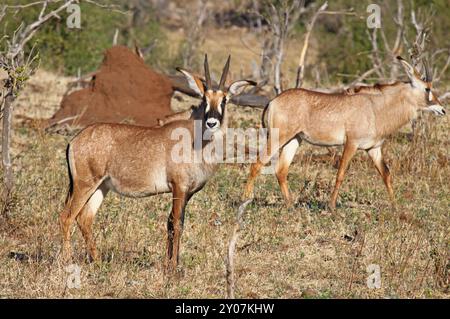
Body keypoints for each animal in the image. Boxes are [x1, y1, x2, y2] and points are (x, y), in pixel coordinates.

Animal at [60, 54, 255, 270]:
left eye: (225, 99)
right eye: (204, 98)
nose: (212, 122)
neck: (195, 139)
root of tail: (75, 140)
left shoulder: (188, 192)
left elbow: (171, 222)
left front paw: (169, 264)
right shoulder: (179, 187)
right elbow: (177, 223)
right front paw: (174, 268)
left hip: (101, 187)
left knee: (84, 219)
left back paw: (98, 261)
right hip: (84, 185)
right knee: (67, 216)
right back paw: (67, 261)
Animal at [244, 56, 444, 211]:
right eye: (427, 88)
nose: (442, 109)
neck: (374, 108)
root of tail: (273, 101)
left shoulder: (374, 149)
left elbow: (386, 174)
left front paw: (395, 208)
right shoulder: (351, 143)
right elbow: (340, 173)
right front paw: (331, 206)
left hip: (294, 140)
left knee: (281, 170)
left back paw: (290, 205)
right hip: (278, 137)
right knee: (257, 163)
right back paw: (245, 199)